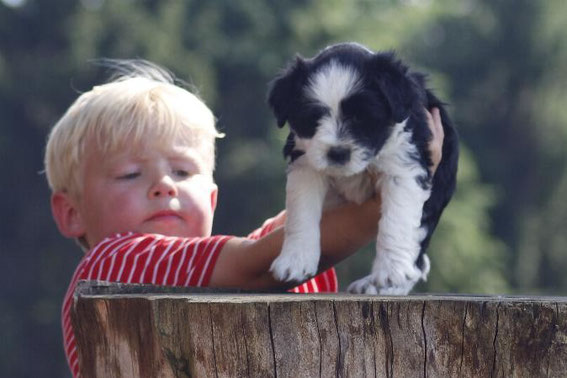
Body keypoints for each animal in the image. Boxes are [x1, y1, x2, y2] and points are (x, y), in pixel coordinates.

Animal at [268, 42, 460, 296]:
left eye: (361, 117)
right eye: (314, 118)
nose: (337, 152)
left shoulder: (404, 165)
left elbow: (396, 219)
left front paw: (391, 273)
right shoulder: (306, 162)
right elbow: (301, 212)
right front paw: (295, 260)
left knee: (419, 259)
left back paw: (384, 286)